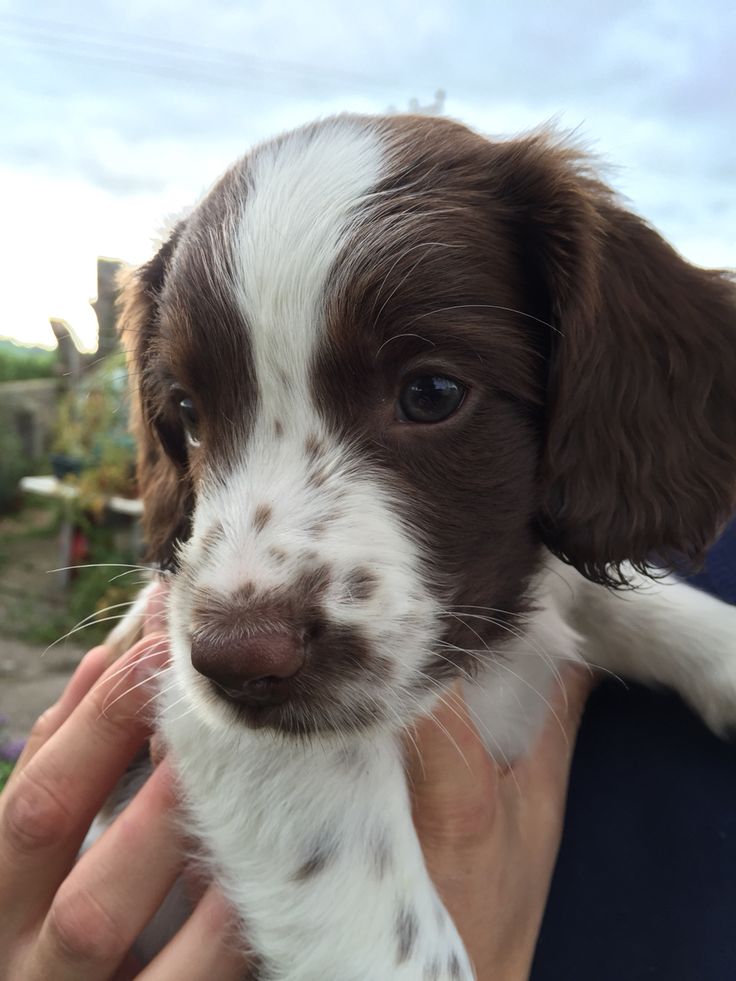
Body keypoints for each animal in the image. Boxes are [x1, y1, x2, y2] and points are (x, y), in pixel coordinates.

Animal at [109, 117, 736, 980]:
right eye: (188, 415)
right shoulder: (218, 716)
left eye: (432, 393)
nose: (235, 661)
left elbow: (593, 594)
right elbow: (392, 934)